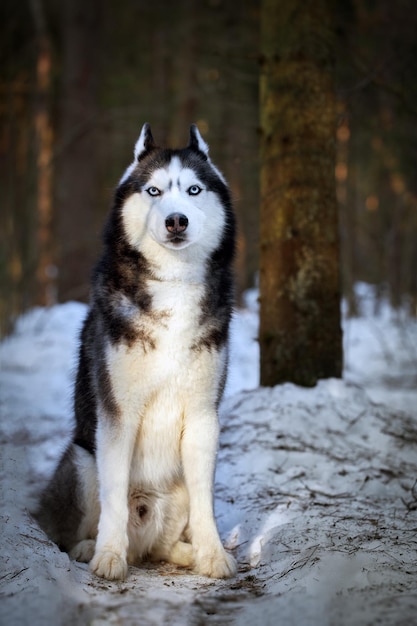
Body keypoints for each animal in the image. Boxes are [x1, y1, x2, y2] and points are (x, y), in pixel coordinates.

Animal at [34, 123, 236, 580]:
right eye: (154, 191)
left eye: (194, 189)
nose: (176, 220)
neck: (173, 286)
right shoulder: (117, 414)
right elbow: (113, 498)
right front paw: (109, 556)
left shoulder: (204, 417)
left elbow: (206, 500)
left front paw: (212, 555)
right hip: (82, 460)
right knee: (72, 531)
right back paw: (89, 549)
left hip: (173, 489)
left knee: (160, 546)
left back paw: (184, 553)